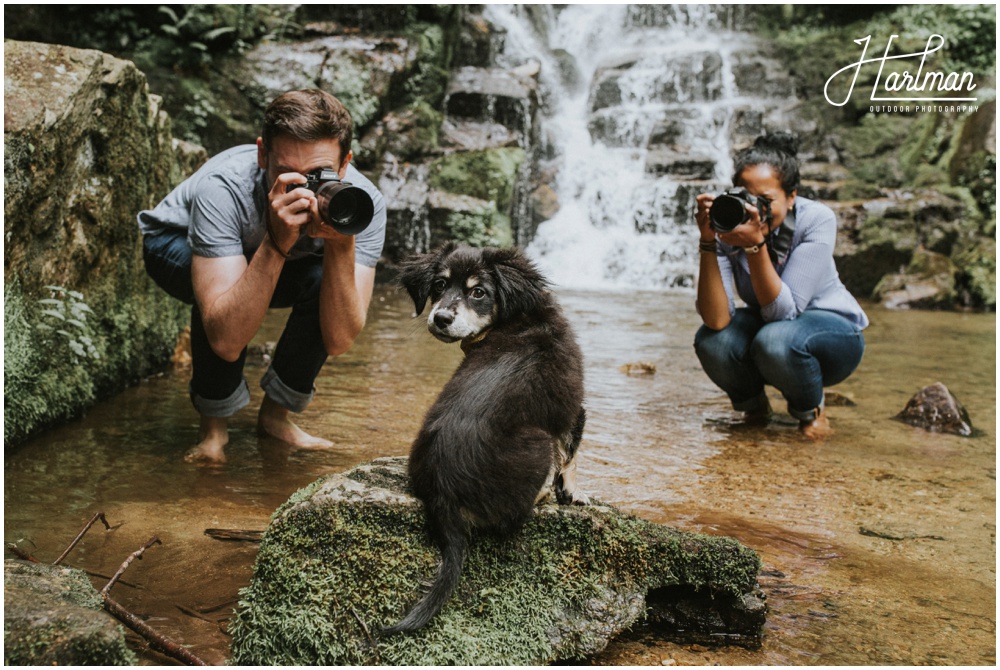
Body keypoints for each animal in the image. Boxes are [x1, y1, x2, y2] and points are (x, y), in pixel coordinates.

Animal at [380, 243, 584, 636]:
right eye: (440, 285)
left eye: (478, 292)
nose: (441, 318)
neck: (523, 316)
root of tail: (443, 495)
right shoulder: (570, 409)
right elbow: (571, 453)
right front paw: (570, 492)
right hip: (536, 445)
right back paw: (542, 494)